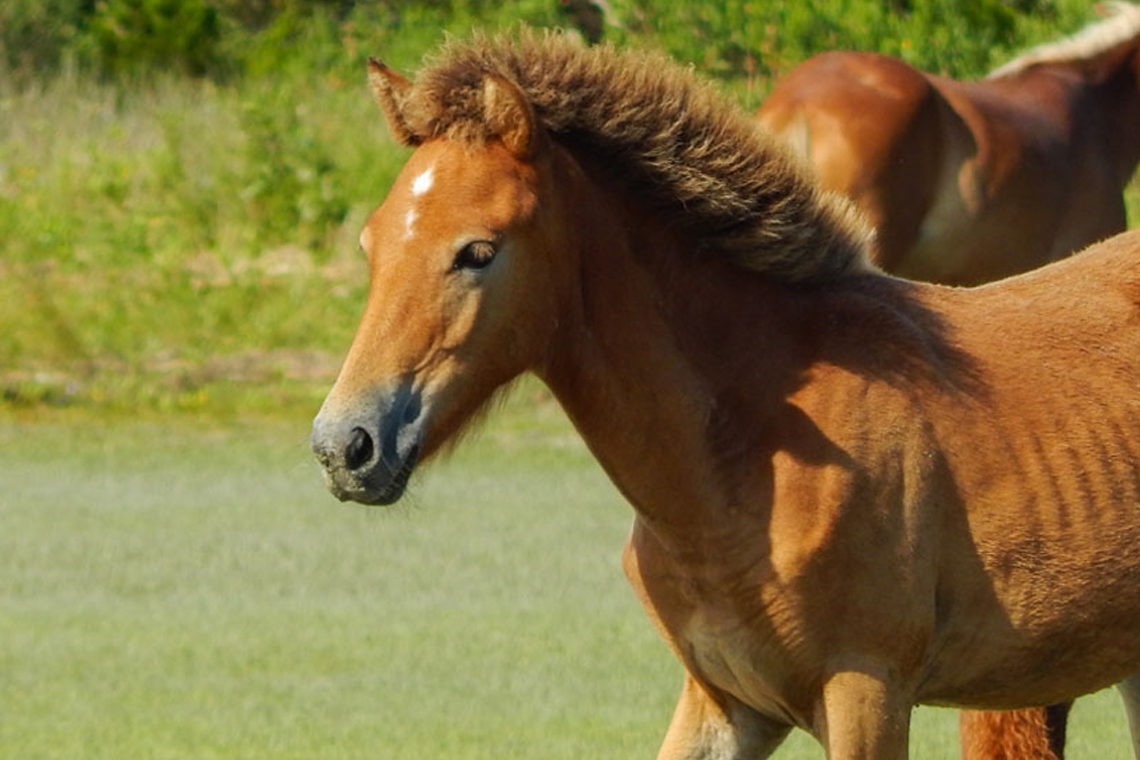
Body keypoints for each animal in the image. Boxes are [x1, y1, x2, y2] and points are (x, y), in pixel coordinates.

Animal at [310, 31, 1140, 760]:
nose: (345, 445)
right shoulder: (726, 700)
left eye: (478, 252)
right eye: (372, 244)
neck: (744, 460)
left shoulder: (868, 690)